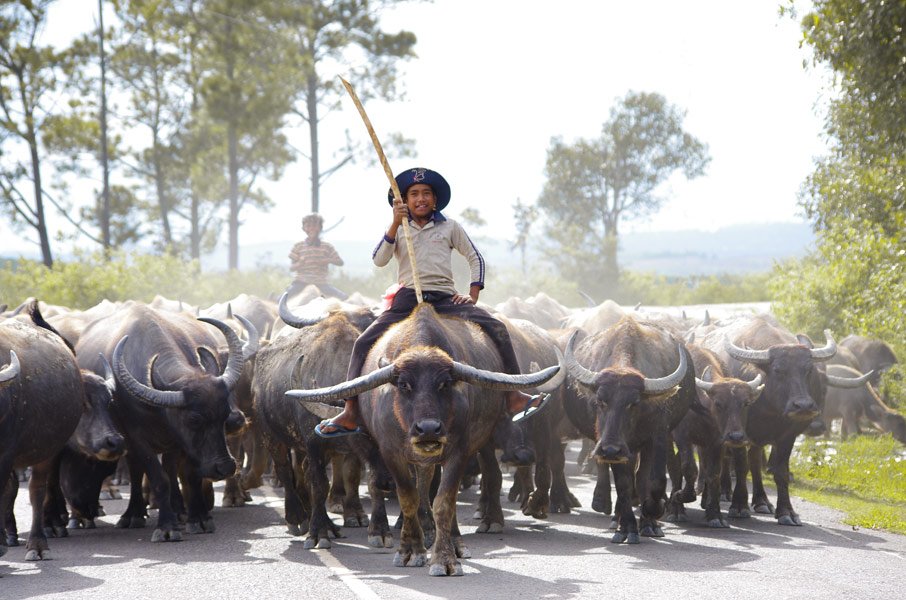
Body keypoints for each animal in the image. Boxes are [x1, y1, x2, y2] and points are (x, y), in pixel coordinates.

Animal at [74, 302, 250, 542]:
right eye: (194, 419)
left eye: (223, 415)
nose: (224, 467)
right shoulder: (136, 438)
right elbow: (159, 479)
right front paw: (167, 527)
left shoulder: (180, 441)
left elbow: (187, 475)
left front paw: (198, 519)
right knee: (137, 471)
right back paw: (134, 514)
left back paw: (179, 510)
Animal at [287, 302, 560, 576]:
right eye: (404, 385)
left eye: (445, 384)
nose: (428, 429)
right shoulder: (391, 452)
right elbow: (408, 497)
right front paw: (410, 551)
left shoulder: (459, 451)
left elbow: (444, 501)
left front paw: (445, 558)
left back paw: (456, 541)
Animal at [562, 315, 693, 544]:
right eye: (600, 401)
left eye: (634, 403)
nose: (610, 449)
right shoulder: (614, 448)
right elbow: (623, 484)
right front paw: (628, 527)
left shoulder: (656, 437)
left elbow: (654, 480)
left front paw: (652, 515)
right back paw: (615, 516)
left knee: (641, 477)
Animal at [700, 315, 836, 525]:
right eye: (779, 370)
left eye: (809, 370)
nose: (803, 406)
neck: (769, 409)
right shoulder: (737, 434)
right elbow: (741, 467)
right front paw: (739, 506)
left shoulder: (787, 436)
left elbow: (780, 471)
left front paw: (786, 511)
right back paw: (721, 494)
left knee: (755, 462)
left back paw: (762, 501)